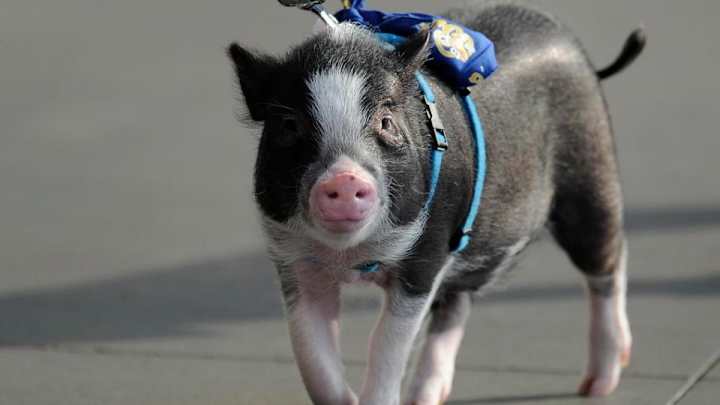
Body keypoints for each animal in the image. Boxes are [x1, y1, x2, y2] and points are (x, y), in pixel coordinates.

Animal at [227, 2, 645, 404]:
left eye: (386, 121)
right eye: (289, 126)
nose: (344, 178)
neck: (353, 257)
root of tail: (575, 49)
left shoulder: (426, 252)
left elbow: (386, 343)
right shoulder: (296, 261)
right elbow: (311, 355)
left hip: (589, 171)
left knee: (608, 260)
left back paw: (597, 385)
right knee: (456, 304)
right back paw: (425, 397)